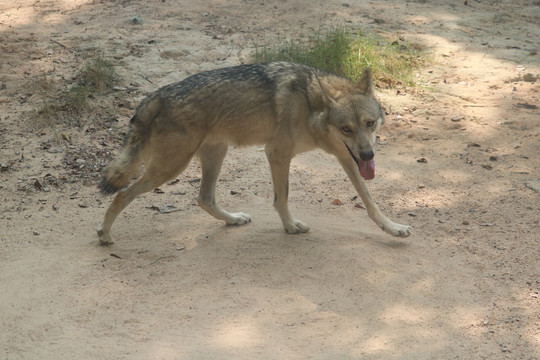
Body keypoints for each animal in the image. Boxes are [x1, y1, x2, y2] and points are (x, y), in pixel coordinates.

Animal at [97, 62, 412, 245]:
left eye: (369, 124)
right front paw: (290, 227)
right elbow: (281, 198)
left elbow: (371, 203)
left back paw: (233, 219)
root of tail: (156, 94)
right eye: (346, 128)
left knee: (204, 198)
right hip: (170, 168)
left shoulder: (346, 157)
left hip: (213, 156)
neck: (309, 104)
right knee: (122, 195)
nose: (369, 155)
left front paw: (393, 229)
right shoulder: (277, 153)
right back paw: (105, 235)